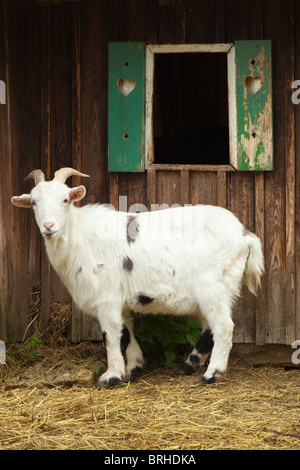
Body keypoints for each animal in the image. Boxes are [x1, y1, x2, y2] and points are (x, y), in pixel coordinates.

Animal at [12, 167, 264, 388]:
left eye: (65, 200)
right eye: (34, 202)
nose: (49, 226)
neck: (82, 237)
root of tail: (244, 234)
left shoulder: (107, 297)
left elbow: (111, 334)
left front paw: (110, 376)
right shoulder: (120, 299)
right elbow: (125, 332)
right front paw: (133, 368)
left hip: (215, 285)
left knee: (223, 326)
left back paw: (212, 374)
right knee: (210, 327)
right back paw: (189, 365)